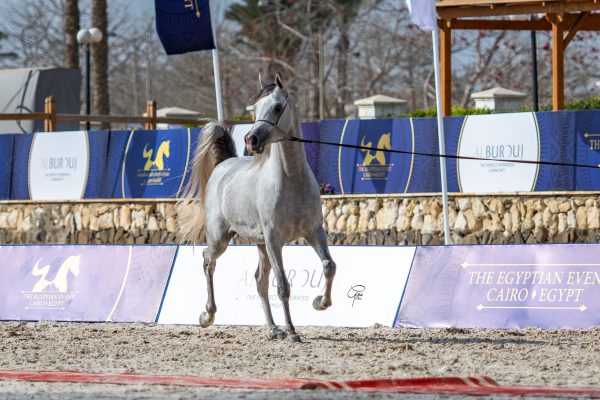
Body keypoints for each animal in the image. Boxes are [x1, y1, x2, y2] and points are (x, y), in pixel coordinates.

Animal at [177, 74, 338, 340]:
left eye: (277, 107)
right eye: (255, 109)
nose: (251, 139)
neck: (291, 179)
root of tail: (224, 164)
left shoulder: (314, 231)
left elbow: (328, 266)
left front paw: (319, 303)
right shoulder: (275, 239)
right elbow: (283, 286)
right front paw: (292, 332)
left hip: (261, 245)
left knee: (260, 280)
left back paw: (273, 329)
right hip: (221, 239)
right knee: (208, 260)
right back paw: (208, 315)